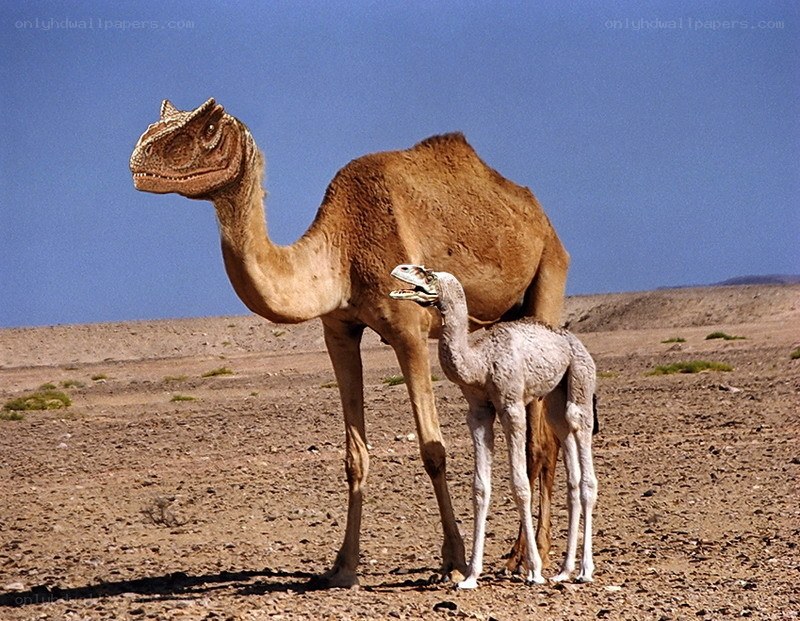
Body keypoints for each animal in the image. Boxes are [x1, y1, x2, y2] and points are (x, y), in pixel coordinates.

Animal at [129, 98, 569, 587]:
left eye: (207, 127)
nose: (139, 159)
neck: (343, 251)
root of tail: (539, 213)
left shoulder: (409, 331)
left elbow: (433, 450)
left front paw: (453, 561)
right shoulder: (338, 330)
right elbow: (354, 456)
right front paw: (341, 567)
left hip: (549, 272)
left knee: (539, 443)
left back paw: (527, 557)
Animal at [390, 265, 598, 588]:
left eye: (426, 274)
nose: (399, 268)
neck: (481, 362)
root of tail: (574, 342)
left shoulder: (511, 405)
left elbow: (520, 484)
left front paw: (533, 570)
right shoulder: (478, 412)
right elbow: (480, 488)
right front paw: (470, 576)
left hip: (580, 377)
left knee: (583, 450)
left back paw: (585, 571)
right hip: (554, 396)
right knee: (568, 456)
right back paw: (564, 570)